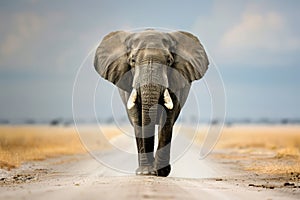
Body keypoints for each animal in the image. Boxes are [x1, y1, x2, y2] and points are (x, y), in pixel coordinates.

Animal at [94, 28, 209, 177]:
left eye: (169, 61)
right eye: (132, 60)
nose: (153, 171)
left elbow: (167, 117)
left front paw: (160, 172)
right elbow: (137, 119)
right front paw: (145, 172)